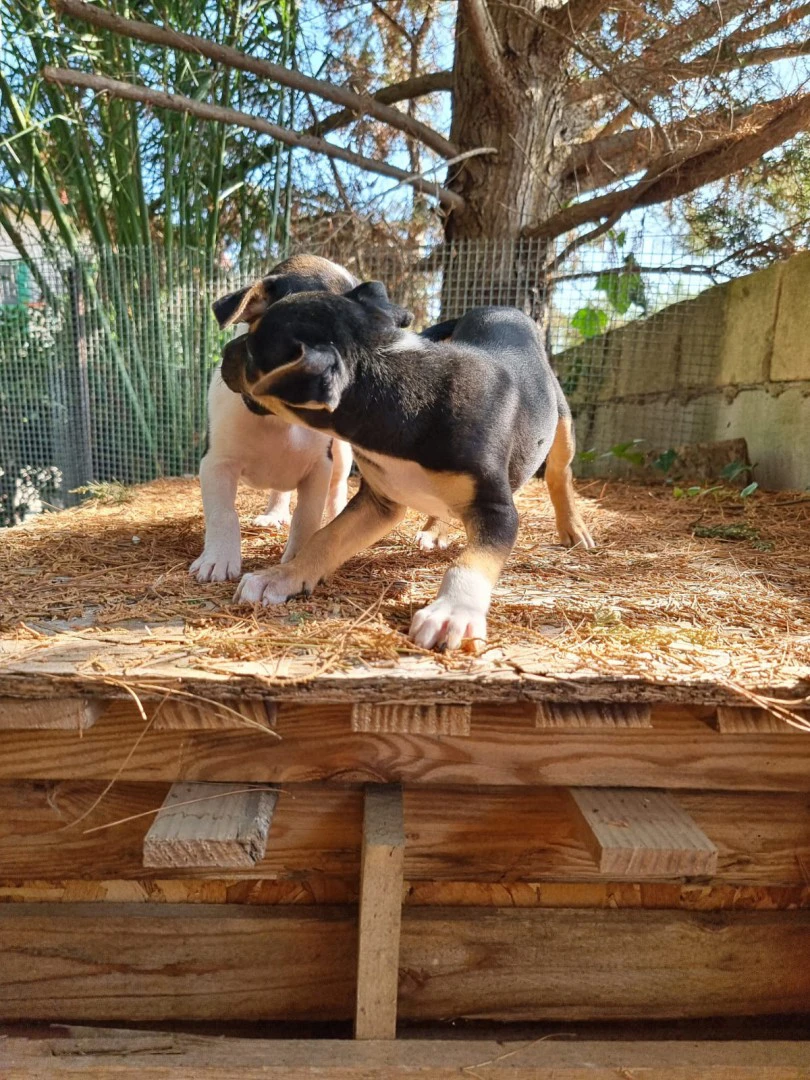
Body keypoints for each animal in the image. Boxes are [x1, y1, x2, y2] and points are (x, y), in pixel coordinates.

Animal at [192, 254, 356, 583]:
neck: (280, 416)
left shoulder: (319, 467)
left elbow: (307, 517)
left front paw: (298, 561)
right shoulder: (216, 464)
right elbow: (223, 514)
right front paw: (218, 559)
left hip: (342, 458)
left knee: (336, 492)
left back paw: (335, 517)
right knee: (280, 491)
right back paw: (274, 514)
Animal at [220, 278, 596, 648]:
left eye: (251, 349)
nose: (223, 352)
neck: (401, 386)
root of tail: (500, 308)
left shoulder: (497, 511)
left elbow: (472, 561)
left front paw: (452, 611)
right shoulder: (379, 502)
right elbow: (326, 538)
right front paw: (282, 576)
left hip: (561, 421)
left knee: (559, 474)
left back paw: (573, 527)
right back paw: (435, 530)